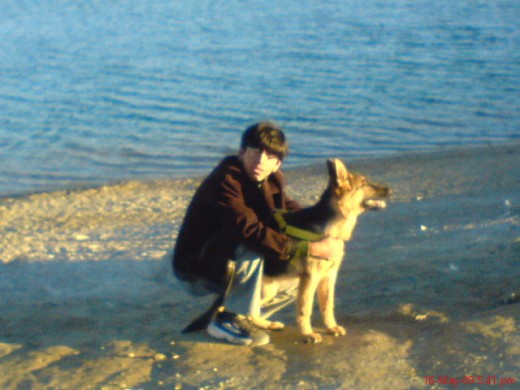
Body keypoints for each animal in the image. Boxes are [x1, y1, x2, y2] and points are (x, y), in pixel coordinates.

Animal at [258, 159, 388, 344]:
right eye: (364, 183)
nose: (389, 189)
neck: (330, 229)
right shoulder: (310, 278)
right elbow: (305, 309)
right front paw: (307, 334)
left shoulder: (329, 277)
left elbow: (327, 305)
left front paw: (331, 327)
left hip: (268, 290)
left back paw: (266, 324)